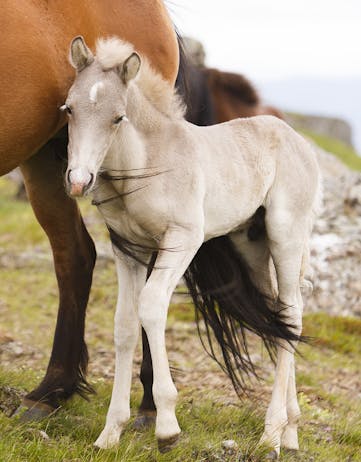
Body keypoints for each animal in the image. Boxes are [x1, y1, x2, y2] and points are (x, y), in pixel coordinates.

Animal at [62, 36, 320, 454]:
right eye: (68, 109)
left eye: (118, 118)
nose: (79, 181)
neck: (148, 163)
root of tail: (301, 143)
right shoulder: (128, 249)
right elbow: (124, 324)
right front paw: (110, 433)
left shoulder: (182, 241)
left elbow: (151, 307)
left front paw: (167, 427)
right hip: (251, 246)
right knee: (280, 316)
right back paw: (291, 432)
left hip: (286, 234)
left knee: (292, 314)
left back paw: (271, 434)